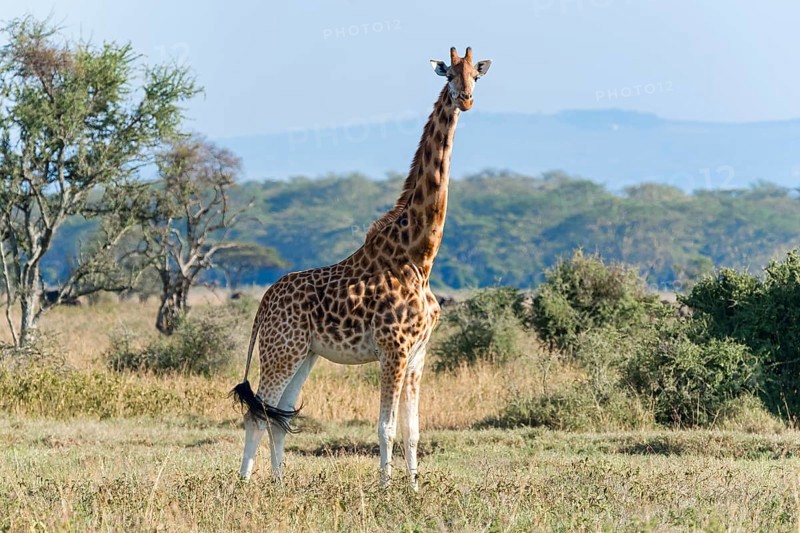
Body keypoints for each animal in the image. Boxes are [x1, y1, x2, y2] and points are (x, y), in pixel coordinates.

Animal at [231, 46, 492, 489]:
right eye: (449, 75)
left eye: (476, 74)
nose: (467, 99)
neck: (419, 256)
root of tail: (263, 302)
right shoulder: (393, 349)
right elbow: (385, 427)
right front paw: (386, 489)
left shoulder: (418, 354)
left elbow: (412, 428)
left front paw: (414, 488)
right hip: (282, 350)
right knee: (258, 412)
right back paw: (245, 485)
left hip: (305, 355)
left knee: (279, 415)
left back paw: (280, 485)